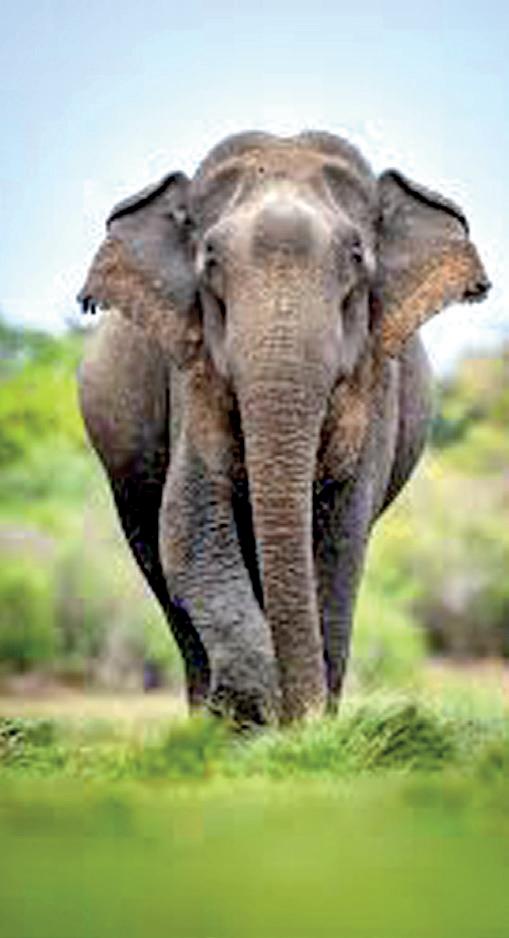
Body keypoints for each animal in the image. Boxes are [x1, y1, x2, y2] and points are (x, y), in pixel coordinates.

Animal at [78, 131, 489, 725]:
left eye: (356, 256)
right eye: (210, 259)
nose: (303, 717)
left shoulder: (375, 381)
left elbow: (340, 538)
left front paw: (304, 722)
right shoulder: (192, 370)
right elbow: (189, 525)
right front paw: (256, 709)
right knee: (157, 559)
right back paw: (209, 723)